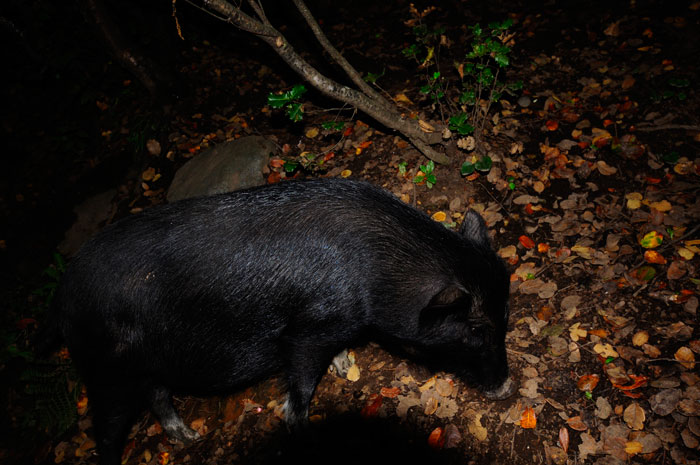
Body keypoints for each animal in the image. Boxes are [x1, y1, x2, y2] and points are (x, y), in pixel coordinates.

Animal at [42, 178, 514, 465]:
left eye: (504, 317)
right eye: (475, 328)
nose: (507, 388)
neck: (380, 275)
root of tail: (61, 299)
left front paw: (344, 365)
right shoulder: (303, 332)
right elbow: (300, 387)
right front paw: (302, 431)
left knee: (157, 392)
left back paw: (189, 440)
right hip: (105, 370)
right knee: (107, 430)